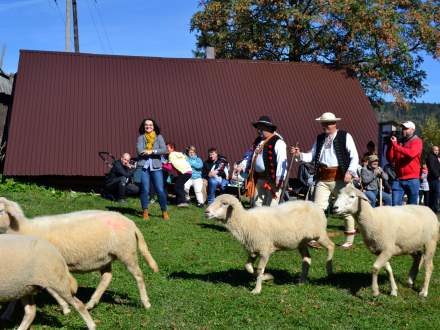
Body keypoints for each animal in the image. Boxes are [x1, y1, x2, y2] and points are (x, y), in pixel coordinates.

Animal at [0, 197, 160, 314]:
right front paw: (7, 314)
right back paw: (91, 303)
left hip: (127, 252)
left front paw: (65, 307)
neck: (22, 229)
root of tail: (131, 223)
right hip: (106, 257)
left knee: (138, 276)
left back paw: (146, 303)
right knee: (107, 277)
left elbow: (51, 290)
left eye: (1, 210)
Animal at [205, 193, 336, 294]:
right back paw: (302, 281)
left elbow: (259, 269)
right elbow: (248, 267)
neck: (245, 221)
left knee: (331, 245)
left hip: (319, 235)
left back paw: (329, 270)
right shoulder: (253, 249)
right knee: (307, 259)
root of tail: (316, 206)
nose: (206, 212)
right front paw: (265, 277)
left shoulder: (265, 250)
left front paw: (257, 289)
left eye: (224, 203)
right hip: (301, 242)